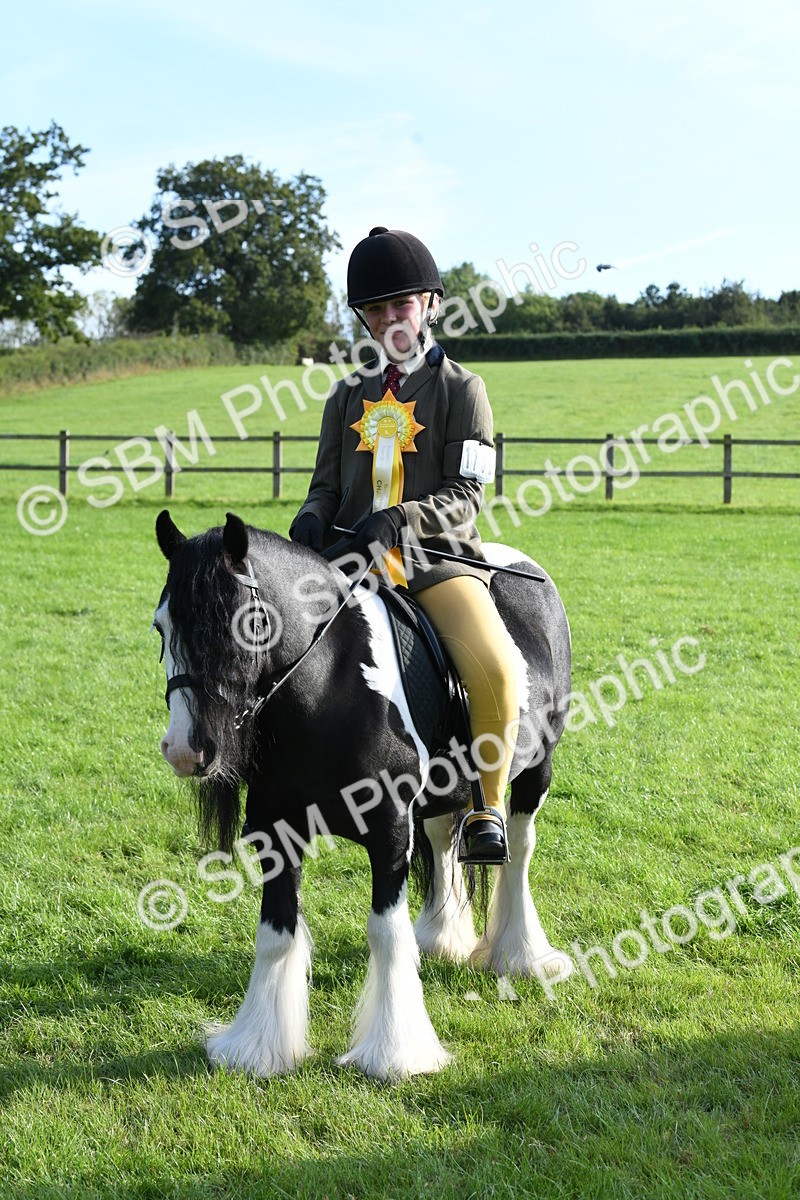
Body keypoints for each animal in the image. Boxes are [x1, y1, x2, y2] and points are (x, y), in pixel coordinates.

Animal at [153, 509, 574, 1079]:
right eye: (161, 626)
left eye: (247, 622)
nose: (184, 749)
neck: (329, 688)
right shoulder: (276, 830)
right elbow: (275, 933)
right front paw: (258, 1048)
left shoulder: (390, 831)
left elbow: (385, 933)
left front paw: (396, 1053)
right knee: (443, 839)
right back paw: (441, 940)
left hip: (536, 770)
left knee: (519, 851)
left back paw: (523, 956)